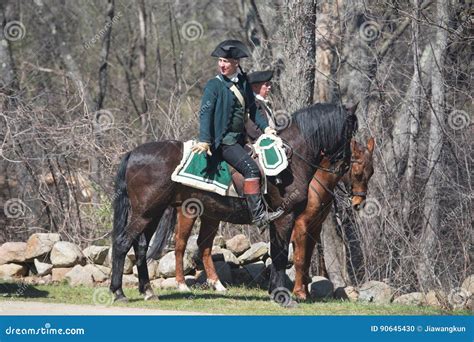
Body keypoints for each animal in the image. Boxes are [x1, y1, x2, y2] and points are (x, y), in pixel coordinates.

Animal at [110, 101, 356, 302]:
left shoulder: (279, 221)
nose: (344, 165)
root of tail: (133, 153)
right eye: (351, 132)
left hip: (154, 213)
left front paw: (275, 292)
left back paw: (148, 291)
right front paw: (283, 295)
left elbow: (277, 252)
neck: (292, 160)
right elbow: (280, 254)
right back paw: (118, 292)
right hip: (146, 213)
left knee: (141, 247)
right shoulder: (286, 218)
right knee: (123, 243)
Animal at [290, 136, 376, 300]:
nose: (358, 203)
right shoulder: (301, 226)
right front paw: (299, 292)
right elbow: (300, 259)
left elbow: (307, 260)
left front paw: (306, 292)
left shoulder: (314, 228)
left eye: (372, 172)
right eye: (357, 173)